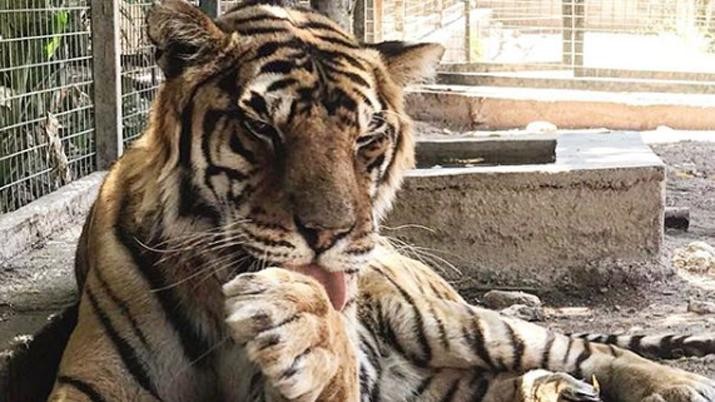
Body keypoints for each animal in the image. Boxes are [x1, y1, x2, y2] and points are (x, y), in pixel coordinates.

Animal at [49, 1, 715, 401]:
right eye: (262, 127)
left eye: (368, 136)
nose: (330, 236)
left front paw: (303, 322)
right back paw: (550, 389)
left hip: (448, 320)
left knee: (587, 347)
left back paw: (675, 385)